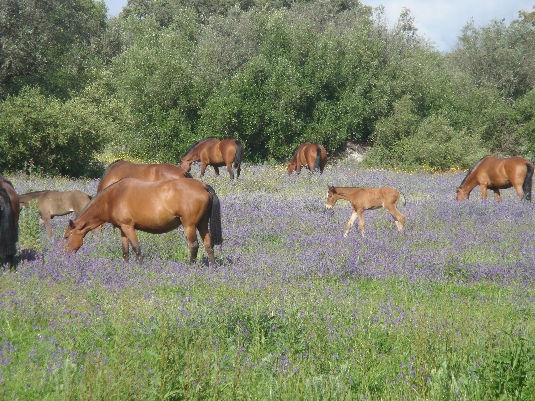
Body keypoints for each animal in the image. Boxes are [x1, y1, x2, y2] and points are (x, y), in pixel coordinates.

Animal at [63, 177, 223, 264]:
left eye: (66, 237)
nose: (66, 255)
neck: (113, 198)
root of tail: (202, 185)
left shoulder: (129, 227)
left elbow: (136, 248)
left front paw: (140, 267)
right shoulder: (123, 229)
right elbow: (125, 251)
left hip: (189, 225)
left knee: (193, 246)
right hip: (202, 225)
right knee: (209, 245)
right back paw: (213, 267)